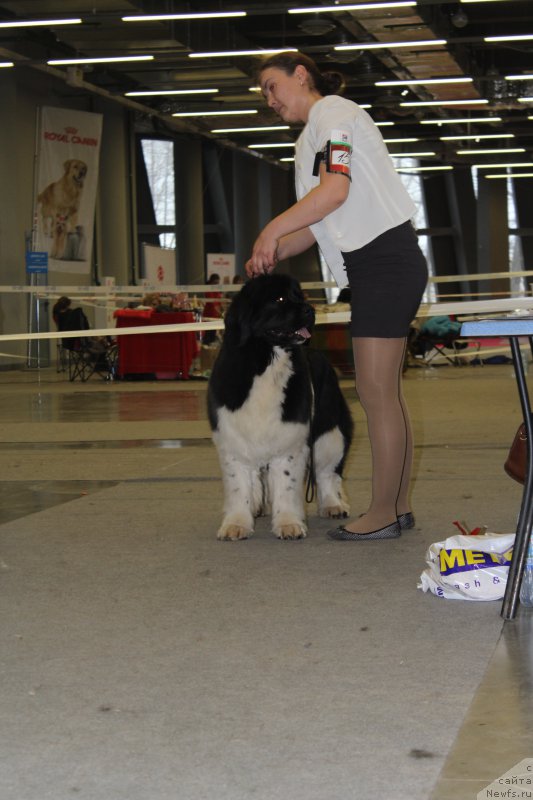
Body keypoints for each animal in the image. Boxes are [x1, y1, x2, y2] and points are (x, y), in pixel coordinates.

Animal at [208, 272, 354, 540]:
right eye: (280, 298)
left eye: (300, 295)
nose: (310, 309)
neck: (266, 363)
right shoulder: (233, 436)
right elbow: (240, 485)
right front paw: (236, 524)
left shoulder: (291, 438)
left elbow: (286, 484)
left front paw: (288, 524)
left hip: (330, 432)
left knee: (328, 472)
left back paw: (333, 505)